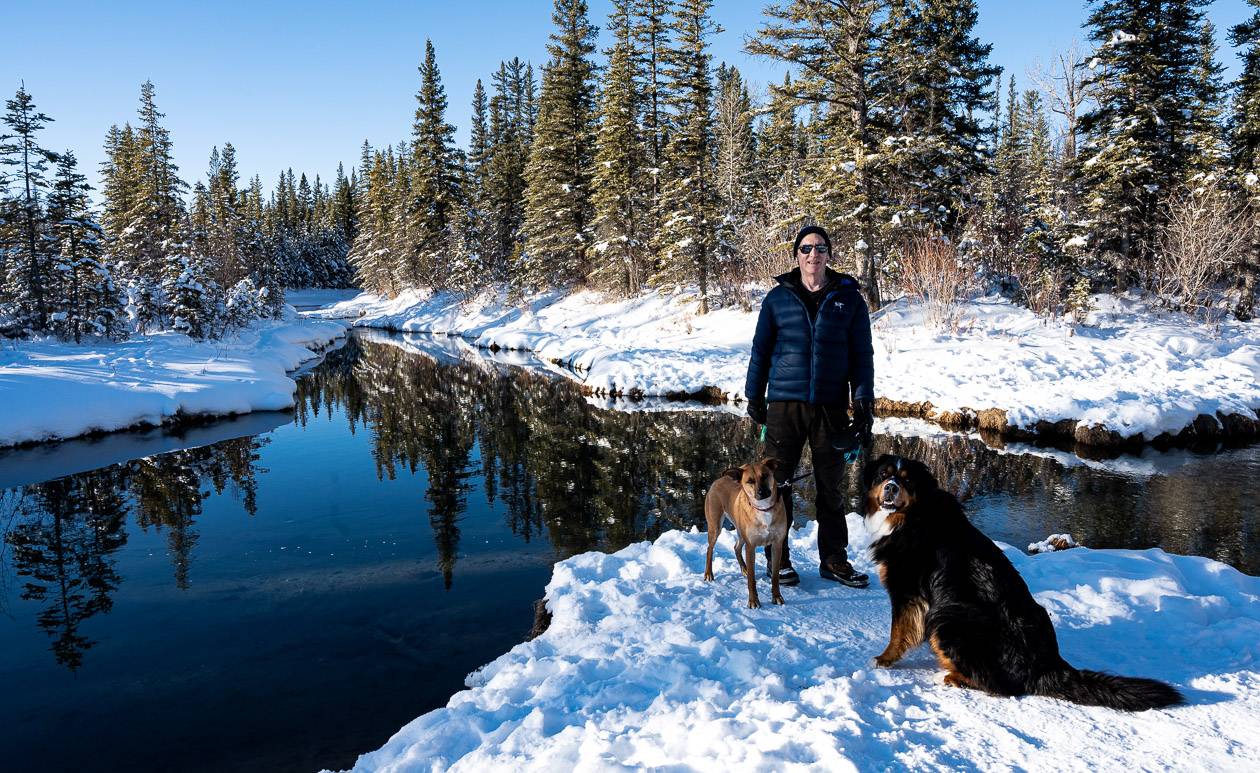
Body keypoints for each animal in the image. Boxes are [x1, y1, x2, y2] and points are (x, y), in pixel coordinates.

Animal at [700, 459, 786, 607]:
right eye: (750, 481)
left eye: (765, 476)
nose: (762, 492)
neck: (764, 509)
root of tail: (718, 479)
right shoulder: (750, 546)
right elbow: (752, 578)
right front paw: (753, 601)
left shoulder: (777, 544)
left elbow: (775, 576)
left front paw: (776, 596)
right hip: (715, 526)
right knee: (709, 549)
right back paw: (709, 573)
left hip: (740, 530)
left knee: (736, 547)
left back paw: (744, 568)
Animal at [861, 451, 1184, 711]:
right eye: (884, 476)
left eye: (906, 481)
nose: (890, 488)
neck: (910, 517)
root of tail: (1047, 664)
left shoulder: (908, 592)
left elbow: (898, 631)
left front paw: (884, 659)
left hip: (946, 619)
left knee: (1000, 686)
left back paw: (953, 676)